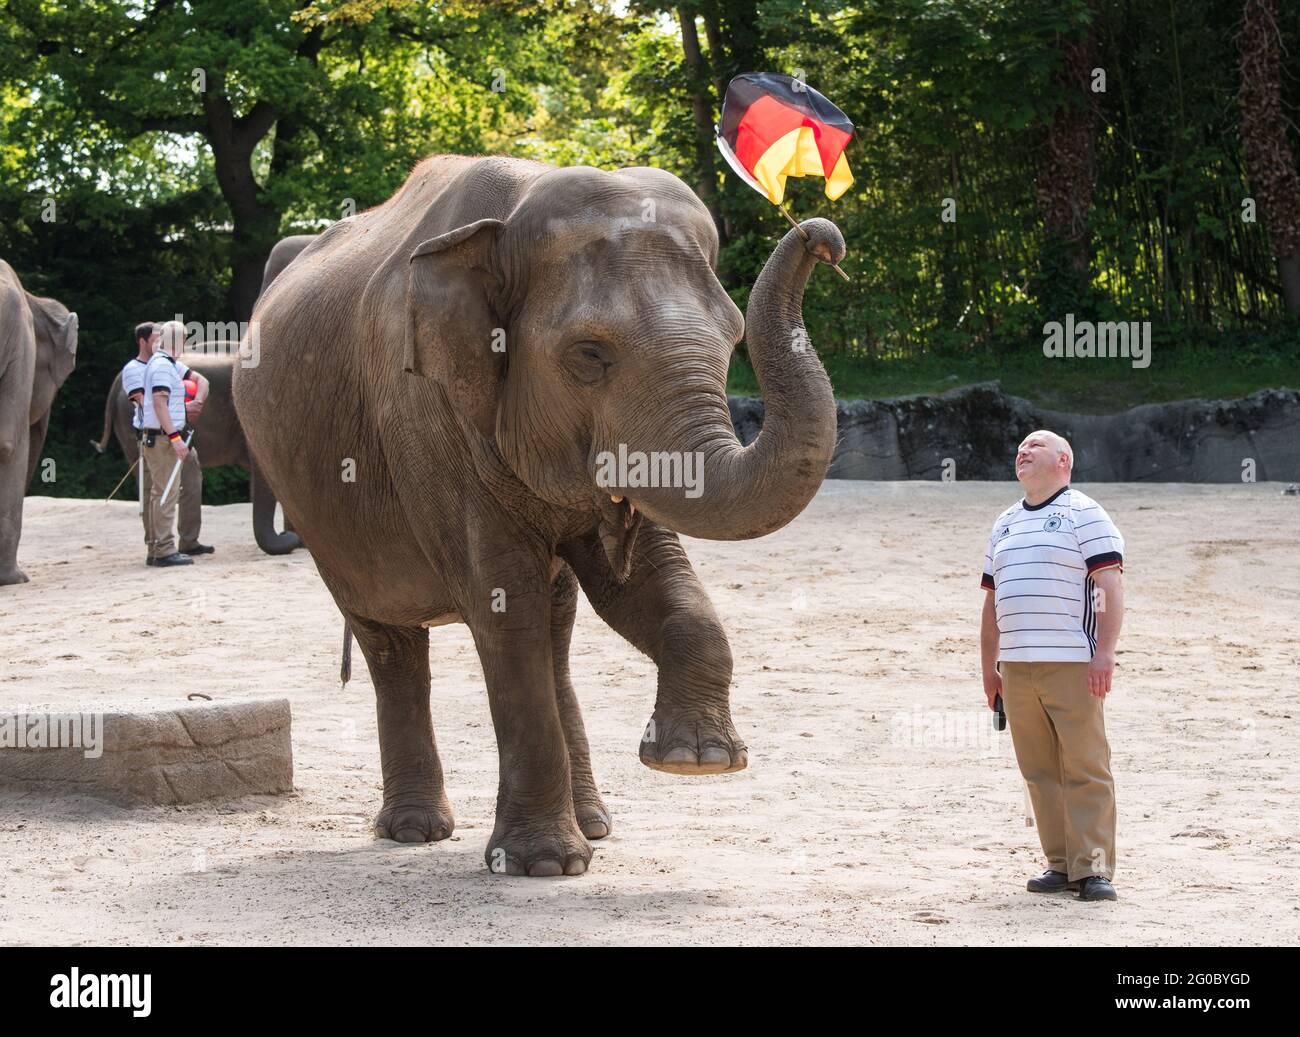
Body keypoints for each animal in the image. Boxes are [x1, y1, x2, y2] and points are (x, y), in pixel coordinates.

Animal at [233, 158, 842, 883]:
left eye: (731, 338)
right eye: (589, 355)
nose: (821, 238)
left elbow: (639, 581)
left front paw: (696, 760)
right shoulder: (428, 418)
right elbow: (503, 605)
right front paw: (544, 865)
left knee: (555, 629)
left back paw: (596, 824)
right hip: (321, 515)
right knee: (393, 641)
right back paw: (417, 832)